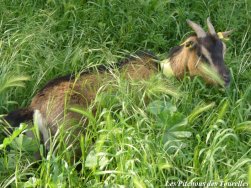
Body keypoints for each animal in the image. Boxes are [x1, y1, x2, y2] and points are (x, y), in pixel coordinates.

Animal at [2, 17, 232, 159]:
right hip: (70, 138)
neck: (163, 69)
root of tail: (35, 106)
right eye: (201, 54)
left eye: (223, 48)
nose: (227, 78)